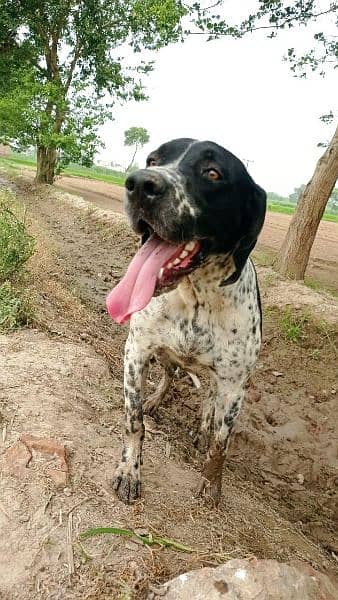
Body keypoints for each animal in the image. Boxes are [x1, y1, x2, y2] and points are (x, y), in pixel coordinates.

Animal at [107, 138, 266, 504]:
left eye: (212, 172)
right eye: (153, 160)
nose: (140, 183)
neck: (197, 297)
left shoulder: (234, 386)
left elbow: (221, 445)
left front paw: (211, 486)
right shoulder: (136, 351)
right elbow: (134, 421)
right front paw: (129, 470)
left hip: (221, 382)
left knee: (209, 403)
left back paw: (203, 426)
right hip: (165, 355)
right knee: (169, 376)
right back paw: (156, 399)